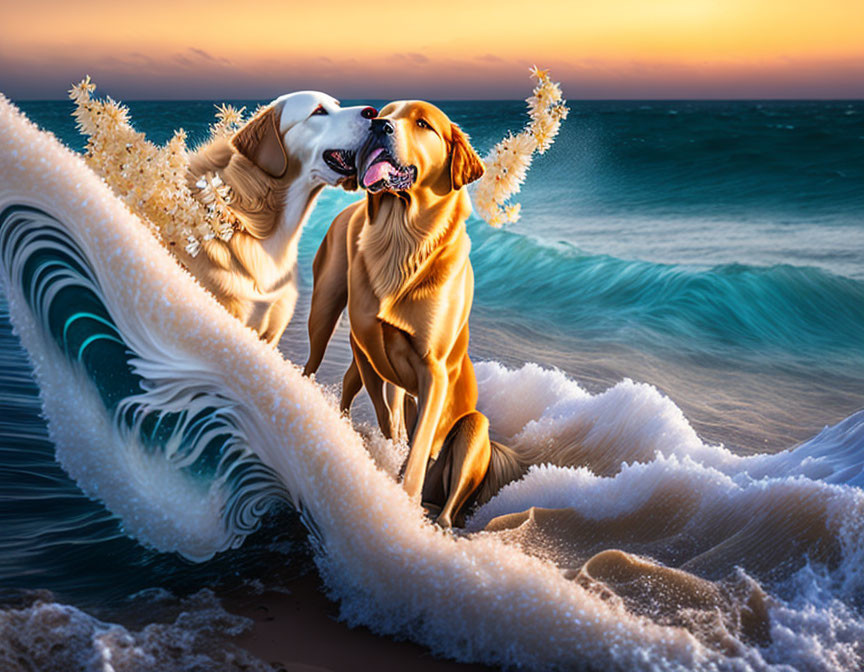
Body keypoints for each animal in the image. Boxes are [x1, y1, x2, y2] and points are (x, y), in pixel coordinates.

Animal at [304, 102, 520, 528]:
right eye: (385, 113)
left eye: (422, 124)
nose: (378, 125)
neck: (400, 237)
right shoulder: (366, 346)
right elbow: (386, 415)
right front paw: (388, 457)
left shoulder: (433, 371)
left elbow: (419, 443)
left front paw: (402, 492)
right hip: (324, 311)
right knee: (320, 363)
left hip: (474, 427)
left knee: (450, 507)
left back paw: (434, 522)